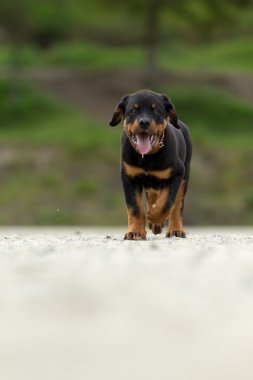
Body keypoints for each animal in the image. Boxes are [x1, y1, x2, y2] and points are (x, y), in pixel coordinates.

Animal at [109, 89, 192, 240]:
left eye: (157, 110)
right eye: (133, 110)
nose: (144, 122)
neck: (147, 157)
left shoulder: (176, 173)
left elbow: (167, 203)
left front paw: (153, 218)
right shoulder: (129, 177)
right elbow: (135, 207)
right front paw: (135, 231)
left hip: (184, 176)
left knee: (177, 206)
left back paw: (175, 230)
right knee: (152, 196)